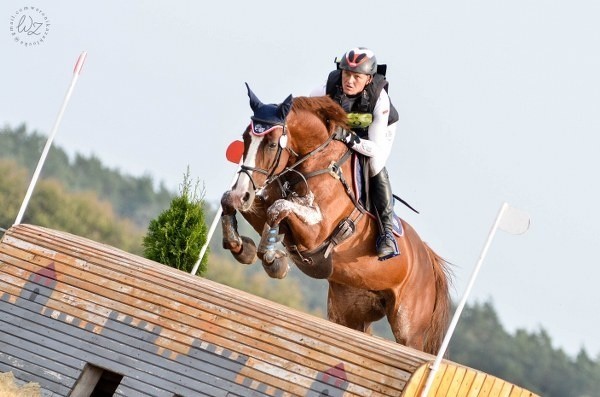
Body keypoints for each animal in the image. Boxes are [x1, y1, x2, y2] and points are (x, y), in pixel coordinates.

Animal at [220, 86, 450, 352]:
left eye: (271, 144)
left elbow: (278, 209)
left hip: (409, 328)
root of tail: (428, 258)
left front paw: (274, 260)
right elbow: (233, 202)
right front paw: (242, 247)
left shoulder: (316, 235)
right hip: (348, 310)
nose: (242, 193)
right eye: (246, 138)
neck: (316, 161)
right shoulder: (261, 200)